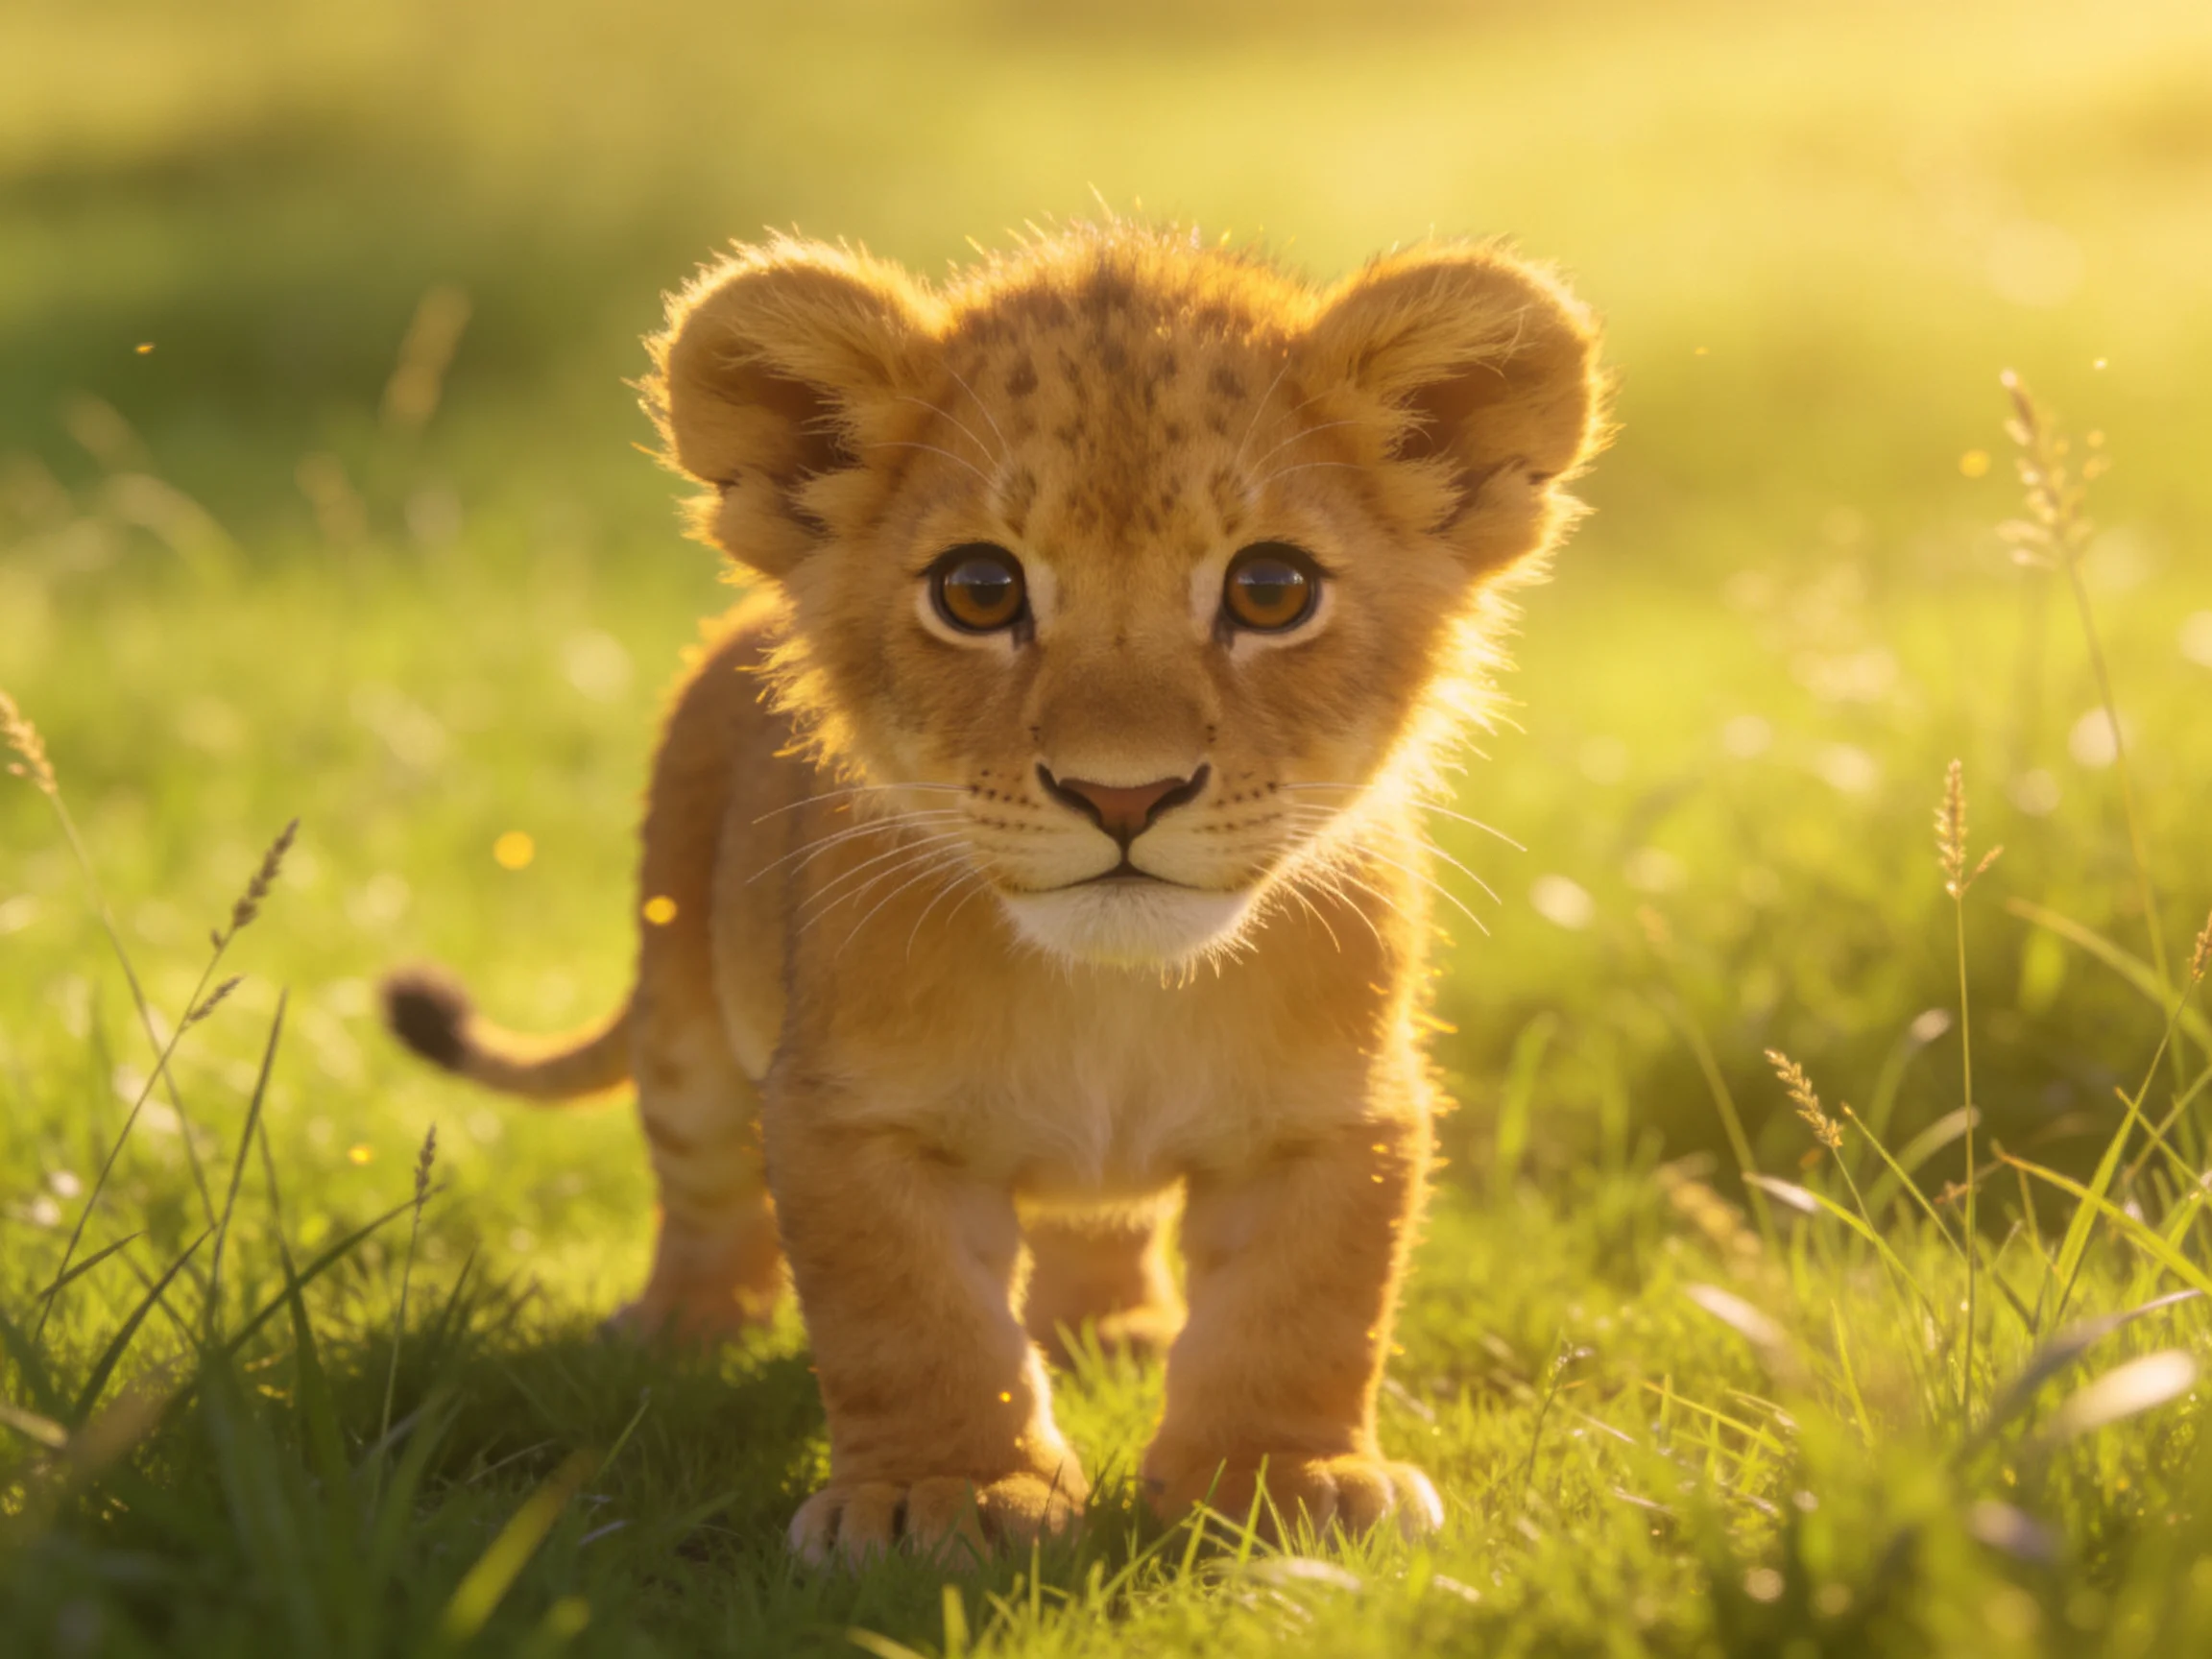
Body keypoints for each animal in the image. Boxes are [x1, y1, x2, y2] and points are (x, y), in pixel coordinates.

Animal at [381, 220, 1605, 1563]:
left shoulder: (1335, 1113)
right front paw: (944, 1495)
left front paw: (1286, 1482)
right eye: (979, 591)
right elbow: (913, 1322)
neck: (1116, 997)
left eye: (1271, 590)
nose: (1124, 794)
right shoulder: (854, 1116)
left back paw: (1117, 1331)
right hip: (684, 1020)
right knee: (699, 1187)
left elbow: (1305, 1311)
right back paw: (676, 1335)